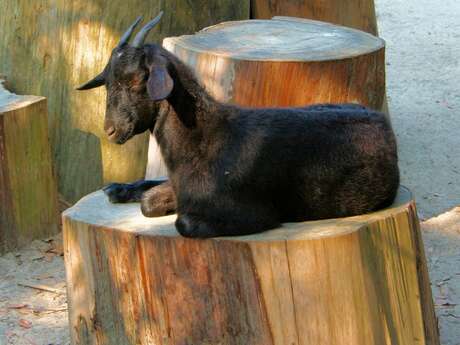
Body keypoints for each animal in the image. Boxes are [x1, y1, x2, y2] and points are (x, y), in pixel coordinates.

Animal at [76, 12, 398, 236]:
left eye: (135, 80)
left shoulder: (251, 214)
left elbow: (175, 218)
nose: (111, 130)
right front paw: (119, 189)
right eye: (107, 81)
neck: (205, 137)